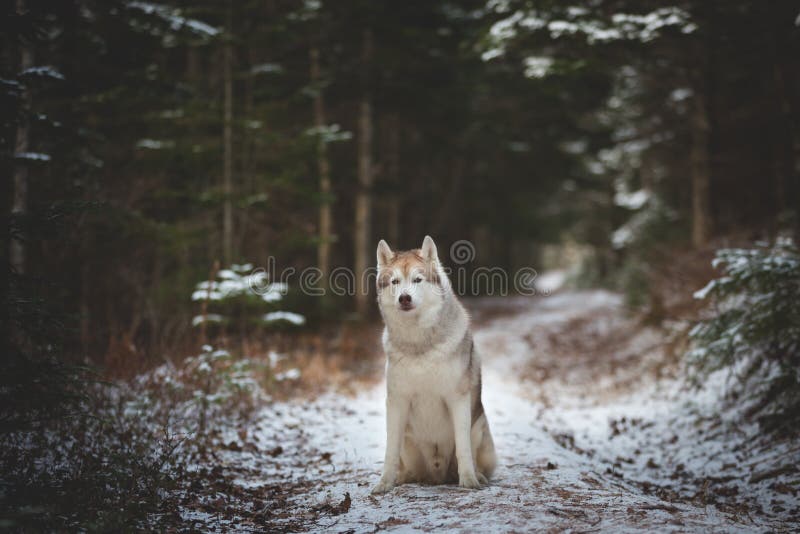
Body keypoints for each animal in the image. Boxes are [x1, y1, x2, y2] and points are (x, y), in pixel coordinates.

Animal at [374, 237, 496, 496]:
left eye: (417, 280)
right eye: (395, 282)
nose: (404, 298)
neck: (419, 345)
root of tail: (437, 475)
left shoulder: (457, 399)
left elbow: (463, 449)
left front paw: (469, 481)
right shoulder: (397, 402)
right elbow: (389, 451)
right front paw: (384, 484)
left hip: (479, 426)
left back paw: (478, 476)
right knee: (408, 467)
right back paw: (403, 478)